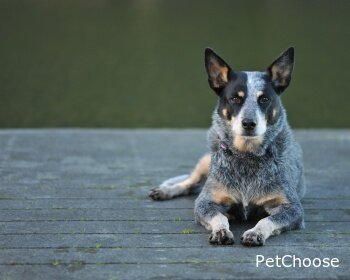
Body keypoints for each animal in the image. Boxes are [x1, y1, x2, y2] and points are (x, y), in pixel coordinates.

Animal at [149, 47, 304, 246]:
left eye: (264, 99)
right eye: (235, 98)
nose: (249, 123)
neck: (246, 156)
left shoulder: (292, 208)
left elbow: (267, 220)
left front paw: (255, 233)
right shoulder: (205, 202)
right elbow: (218, 216)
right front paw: (221, 231)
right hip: (205, 161)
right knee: (189, 182)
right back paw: (165, 191)